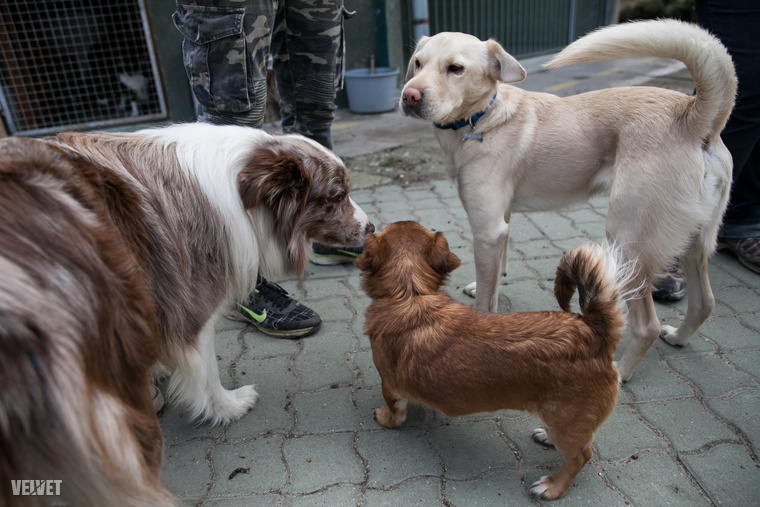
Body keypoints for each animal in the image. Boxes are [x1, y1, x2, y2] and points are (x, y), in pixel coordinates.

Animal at [0, 124, 372, 507]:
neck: (238, 188)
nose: (371, 227)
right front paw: (229, 406)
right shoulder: (193, 307)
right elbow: (206, 373)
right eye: (337, 196)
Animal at [360, 222, 632, 500]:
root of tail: (594, 333)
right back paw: (546, 437)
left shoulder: (390, 386)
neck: (410, 293)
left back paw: (553, 486)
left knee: (580, 456)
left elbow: (395, 411)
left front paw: (386, 418)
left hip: (566, 424)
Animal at [398, 21, 736, 382]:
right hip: (693, 241)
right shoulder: (501, 222)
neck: (482, 118)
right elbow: (498, 270)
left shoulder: (487, 229)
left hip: (629, 241)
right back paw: (679, 338)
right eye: (417, 63)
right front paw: (486, 285)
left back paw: (621, 371)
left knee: (648, 325)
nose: (409, 96)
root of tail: (695, 117)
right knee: (704, 302)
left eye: (455, 68)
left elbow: (487, 300)